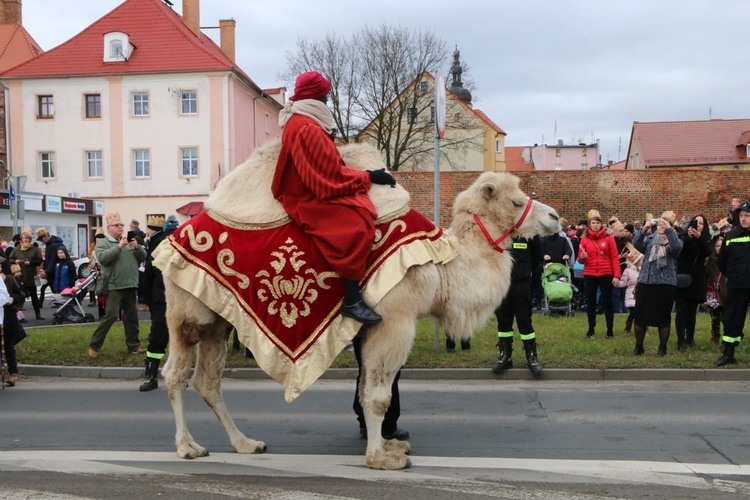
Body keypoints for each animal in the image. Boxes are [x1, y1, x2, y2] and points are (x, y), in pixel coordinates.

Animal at [156, 140, 560, 468]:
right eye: (516, 201)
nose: (554, 218)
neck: (440, 265)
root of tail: (177, 234)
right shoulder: (395, 320)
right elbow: (379, 396)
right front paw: (382, 458)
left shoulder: (372, 330)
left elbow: (367, 389)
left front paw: (390, 446)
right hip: (185, 314)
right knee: (174, 375)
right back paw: (187, 447)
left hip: (216, 320)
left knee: (208, 381)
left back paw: (245, 443)